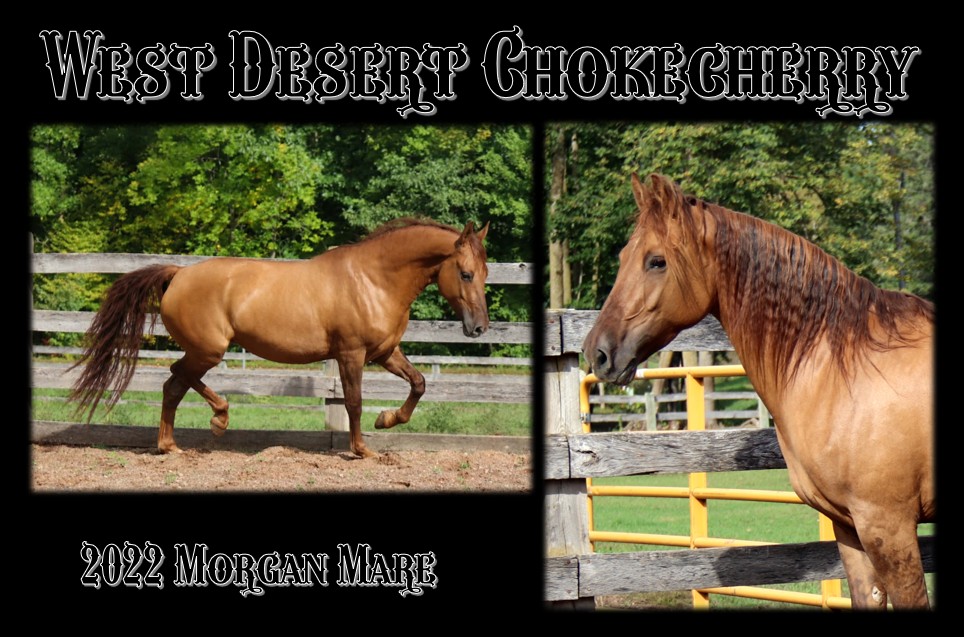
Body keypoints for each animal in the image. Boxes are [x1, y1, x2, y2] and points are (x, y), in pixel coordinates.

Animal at [68, 218, 490, 460]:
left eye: (485, 273)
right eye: (465, 273)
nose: (479, 328)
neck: (373, 279)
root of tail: (178, 274)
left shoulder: (385, 353)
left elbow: (418, 384)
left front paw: (387, 420)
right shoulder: (351, 354)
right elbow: (353, 402)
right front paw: (361, 449)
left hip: (204, 351)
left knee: (174, 381)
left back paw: (183, 438)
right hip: (209, 350)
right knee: (175, 382)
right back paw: (205, 426)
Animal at [582, 173, 934, 609]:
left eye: (656, 261)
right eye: (622, 256)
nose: (597, 352)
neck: (845, 367)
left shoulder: (889, 526)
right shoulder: (849, 527)